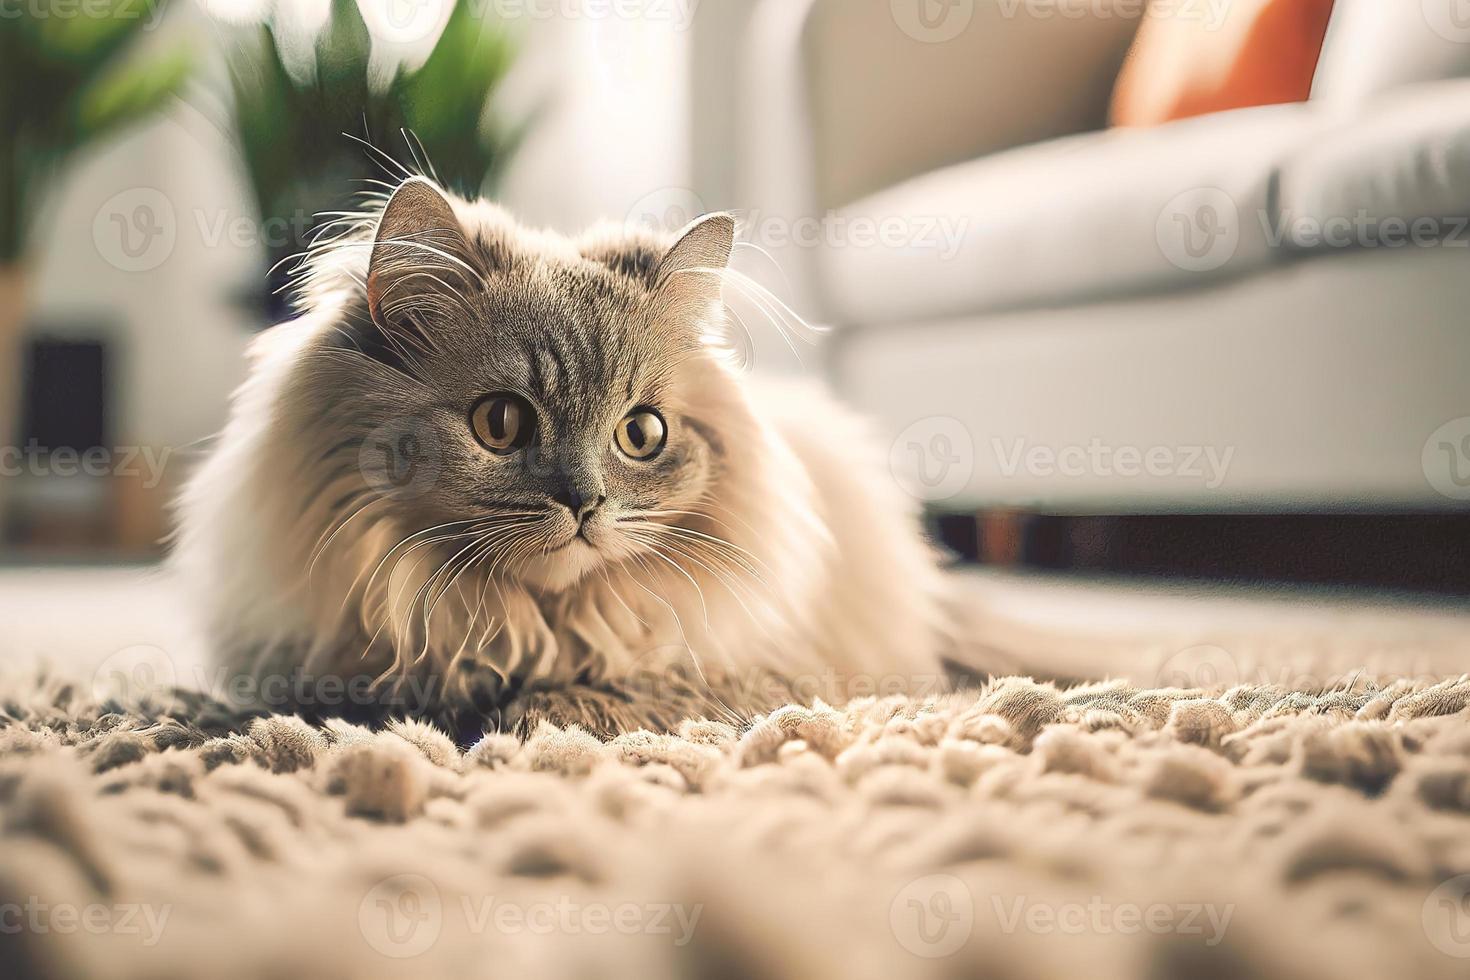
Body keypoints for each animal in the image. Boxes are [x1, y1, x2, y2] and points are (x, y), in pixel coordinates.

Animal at [174, 178, 952, 734]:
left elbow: (605, 695)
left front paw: (526, 717)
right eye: (500, 422)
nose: (585, 502)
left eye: (642, 435)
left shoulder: (762, 671)